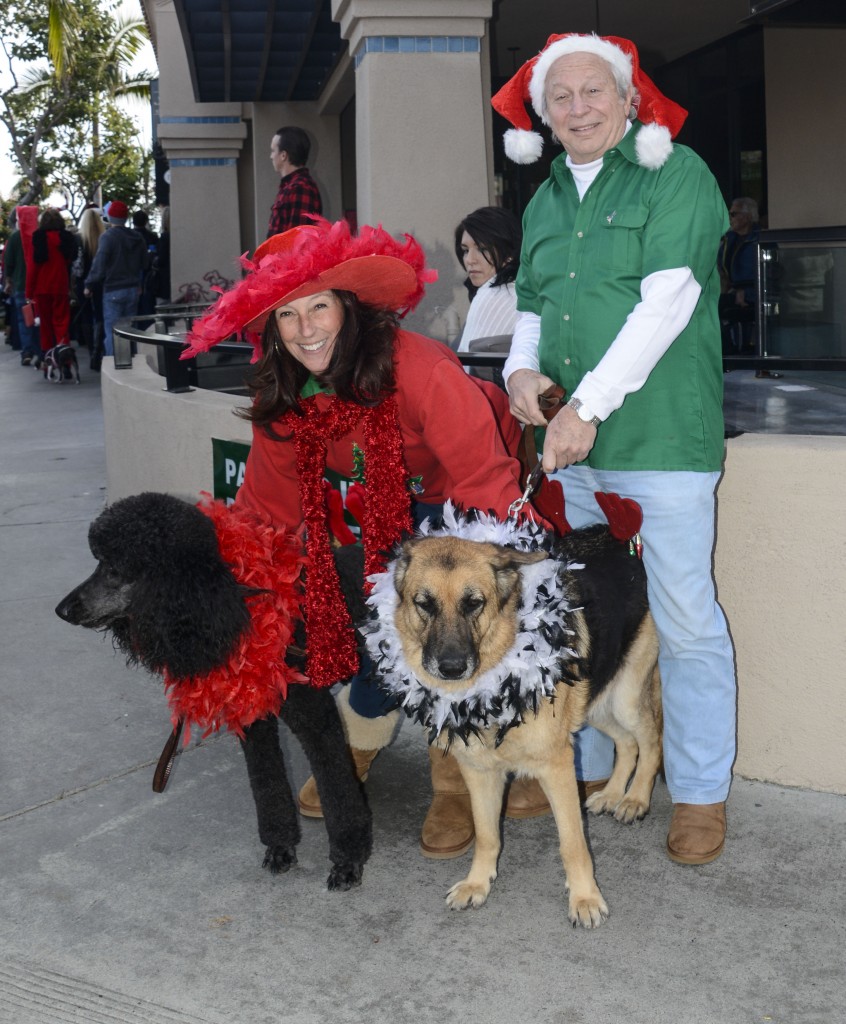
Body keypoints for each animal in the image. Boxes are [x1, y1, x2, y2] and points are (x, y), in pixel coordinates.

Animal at [374, 520, 659, 929]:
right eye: (424, 604)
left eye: (474, 603)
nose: (451, 668)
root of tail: (622, 543)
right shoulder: (477, 772)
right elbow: (487, 834)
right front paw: (477, 884)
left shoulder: (557, 767)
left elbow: (573, 843)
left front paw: (585, 898)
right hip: (597, 701)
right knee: (627, 743)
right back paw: (613, 793)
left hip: (625, 699)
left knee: (651, 741)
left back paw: (634, 799)